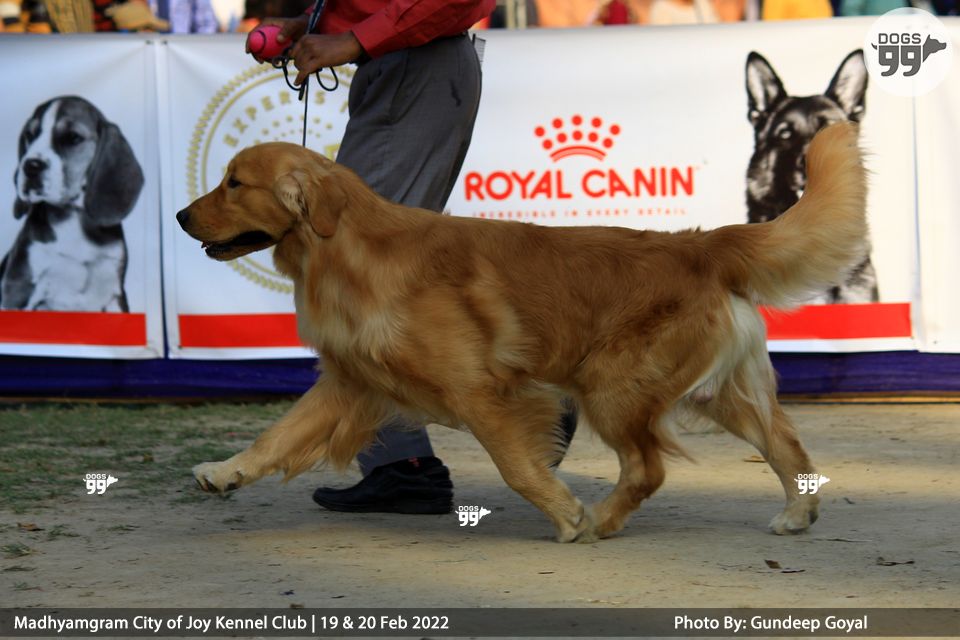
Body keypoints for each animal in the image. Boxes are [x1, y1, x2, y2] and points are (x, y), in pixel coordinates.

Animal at [0, 96, 144, 312]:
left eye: (72, 138)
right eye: (29, 135)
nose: (30, 166)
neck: (73, 218)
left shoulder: (114, 294)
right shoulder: (18, 289)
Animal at [178, 123, 865, 542]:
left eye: (234, 183)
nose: (182, 215)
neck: (348, 248)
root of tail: (701, 245)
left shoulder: (482, 390)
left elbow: (516, 465)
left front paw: (566, 514)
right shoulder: (352, 379)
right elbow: (278, 434)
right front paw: (225, 471)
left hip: (611, 384)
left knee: (647, 468)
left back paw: (600, 520)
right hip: (711, 390)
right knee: (784, 446)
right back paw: (797, 513)